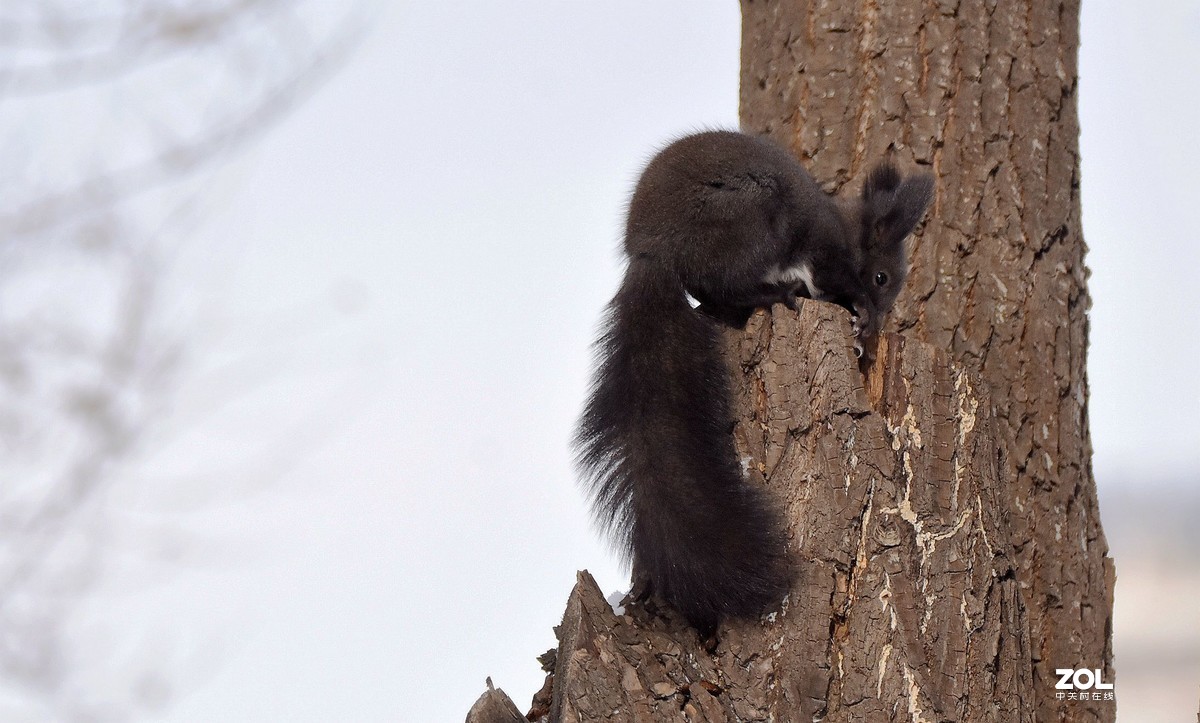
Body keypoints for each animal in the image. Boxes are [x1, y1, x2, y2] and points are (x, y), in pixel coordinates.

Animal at [573, 129, 936, 629]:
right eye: (882, 277)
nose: (880, 327)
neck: (844, 228)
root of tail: (653, 253)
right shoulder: (823, 250)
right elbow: (832, 278)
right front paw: (859, 316)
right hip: (750, 219)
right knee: (726, 283)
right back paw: (775, 294)